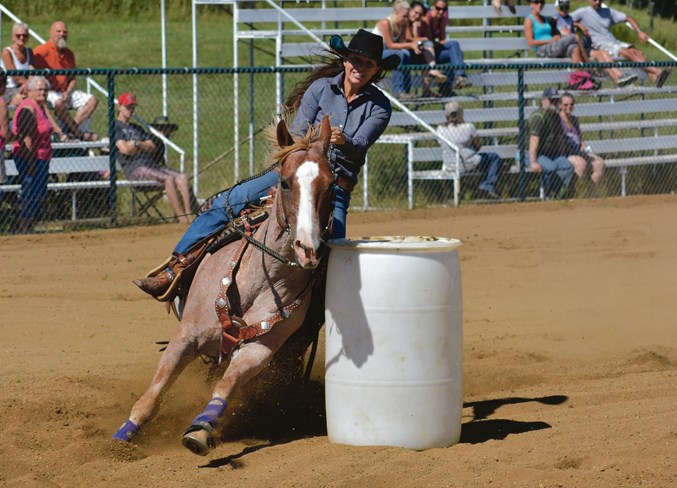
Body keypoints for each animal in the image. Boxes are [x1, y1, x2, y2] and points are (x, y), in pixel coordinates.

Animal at [113, 116, 336, 456]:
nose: (308, 248)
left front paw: (201, 428)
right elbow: (155, 392)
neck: (258, 280)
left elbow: (227, 384)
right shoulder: (186, 335)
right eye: (285, 183)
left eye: (331, 184)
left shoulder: (260, 348)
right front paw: (123, 436)